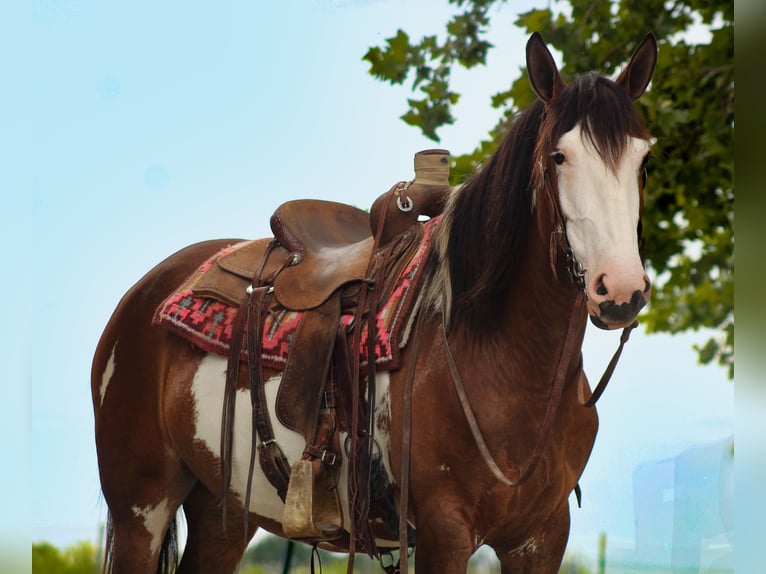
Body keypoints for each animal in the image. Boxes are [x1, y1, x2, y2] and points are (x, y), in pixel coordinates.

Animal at [92, 32, 657, 573]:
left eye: (644, 161)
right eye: (559, 156)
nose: (620, 290)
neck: (502, 360)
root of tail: (143, 295)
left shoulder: (541, 537)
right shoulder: (444, 530)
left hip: (222, 509)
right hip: (141, 507)